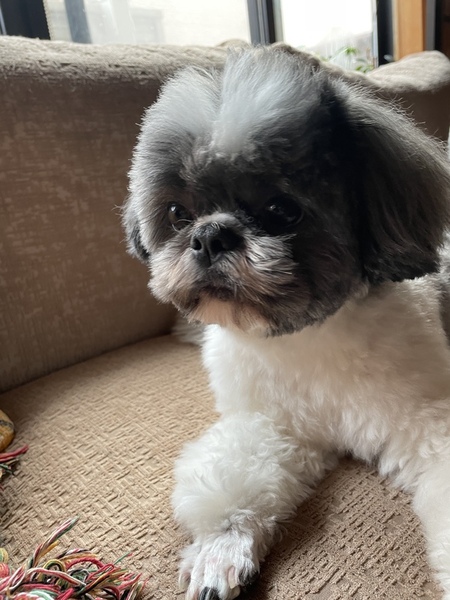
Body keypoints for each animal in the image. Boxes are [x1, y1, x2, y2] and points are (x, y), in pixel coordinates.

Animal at [123, 47, 450, 600]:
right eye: (177, 213)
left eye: (281, 210)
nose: (210, 234)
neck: (305, 336)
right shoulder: (273, 425)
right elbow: (234, 474)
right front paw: (220, 548)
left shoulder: (429, 423)